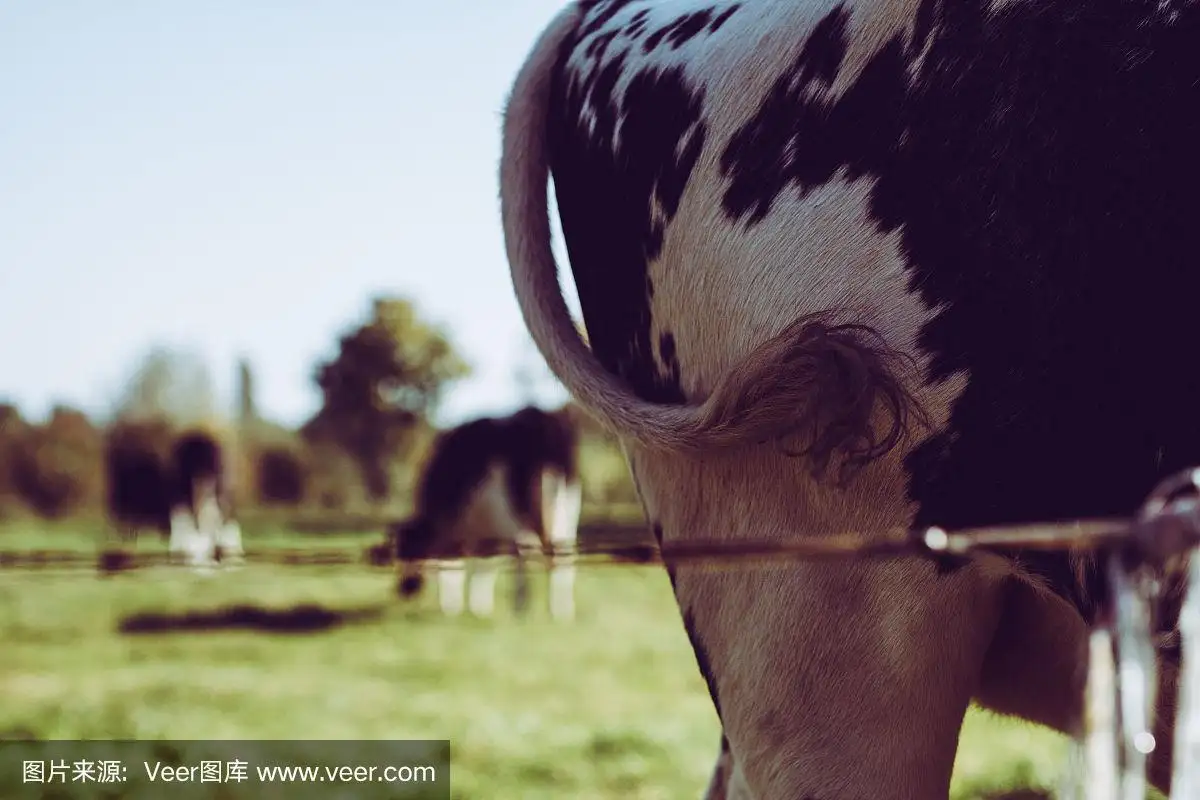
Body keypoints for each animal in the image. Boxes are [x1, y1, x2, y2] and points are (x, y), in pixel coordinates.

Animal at [393, 407, 580, 618]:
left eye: (403, 550)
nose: (403, 590)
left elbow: (458, 566)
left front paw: (460, 611)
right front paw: (479, 612)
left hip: (521, 510)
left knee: (533, 548)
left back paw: (526, 611)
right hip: (567, 502)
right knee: (562, 551)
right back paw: (560, 613)